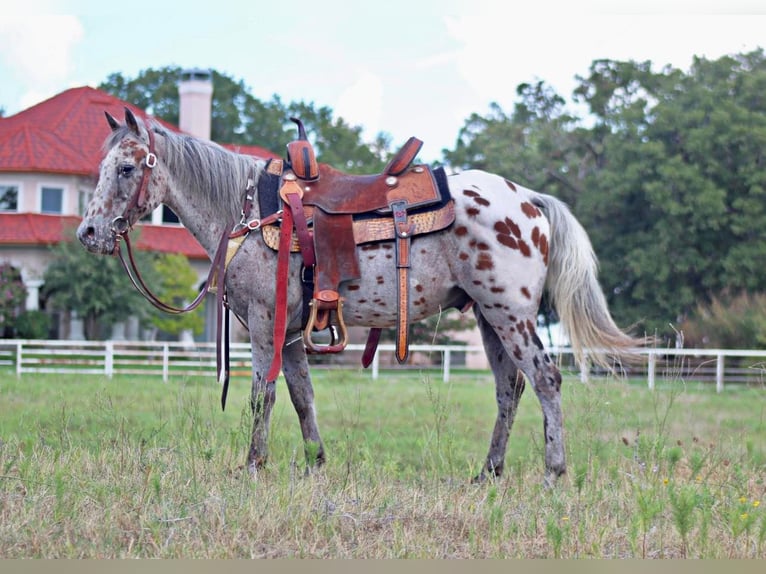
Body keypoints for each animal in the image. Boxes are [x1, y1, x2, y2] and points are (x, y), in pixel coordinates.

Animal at [78, 109, 644, 486]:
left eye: (127, 169)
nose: (89, 232)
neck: (250, 212)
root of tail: (528, 199)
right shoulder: (290, 334)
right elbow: (301, 396)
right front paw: (315, 465)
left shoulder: (262, 323)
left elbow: (262, 394)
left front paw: (254, 466)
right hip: (489, 318)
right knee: (510, 390)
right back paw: (488, 474)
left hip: (512, 314)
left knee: (546, 380)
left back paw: (553, 474)